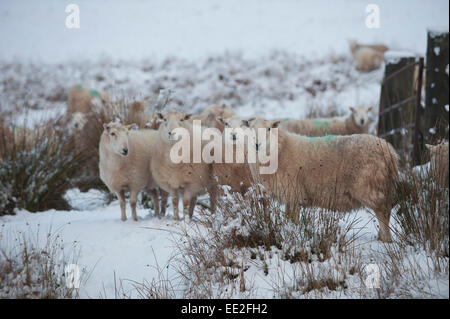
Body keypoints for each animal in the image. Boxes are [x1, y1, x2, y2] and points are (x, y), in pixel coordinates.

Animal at [248, 118, 400, 242]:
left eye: (269, 129)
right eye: (251, 128)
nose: (256, 145)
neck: (280, 150)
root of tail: (390, 151)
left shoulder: (294, 194)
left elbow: (293, 220)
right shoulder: (290, 197)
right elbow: (288, 218)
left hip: (371, 186)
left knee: (382, 213)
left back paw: (385, 239)